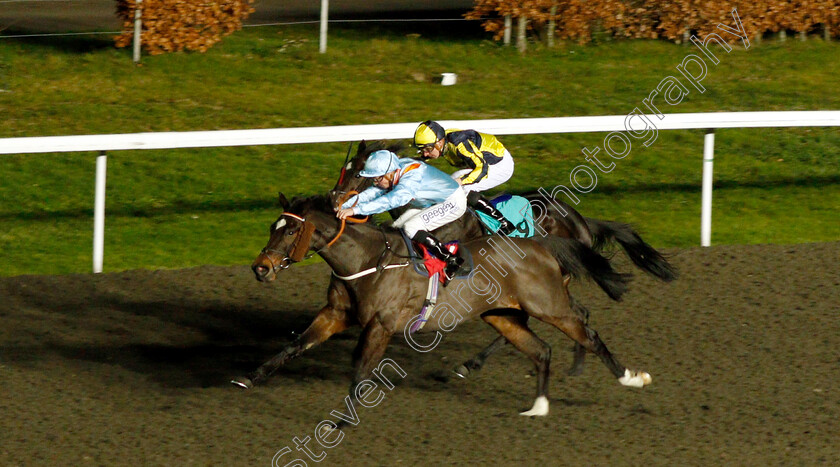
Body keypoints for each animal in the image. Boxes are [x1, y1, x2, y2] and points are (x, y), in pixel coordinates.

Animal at [233, 196, 652, 418]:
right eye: (271, 227)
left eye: (290, 230)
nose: (260, 268)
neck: (366, 258)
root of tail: (543, 244)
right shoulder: (336, 314)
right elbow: (295, 344)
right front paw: (248, 378)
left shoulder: (381, 323)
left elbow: (361, 367)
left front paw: (343, 419)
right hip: (501, 313)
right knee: (542, 347)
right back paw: (537, 405)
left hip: (549, 303)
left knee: (588, 330)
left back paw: (630, 377)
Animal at [328, 139, 676, 376]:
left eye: (357, 174)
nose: (334, 201)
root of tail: (580, 220)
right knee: (576, 312)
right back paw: (574, 363)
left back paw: (474, 363)